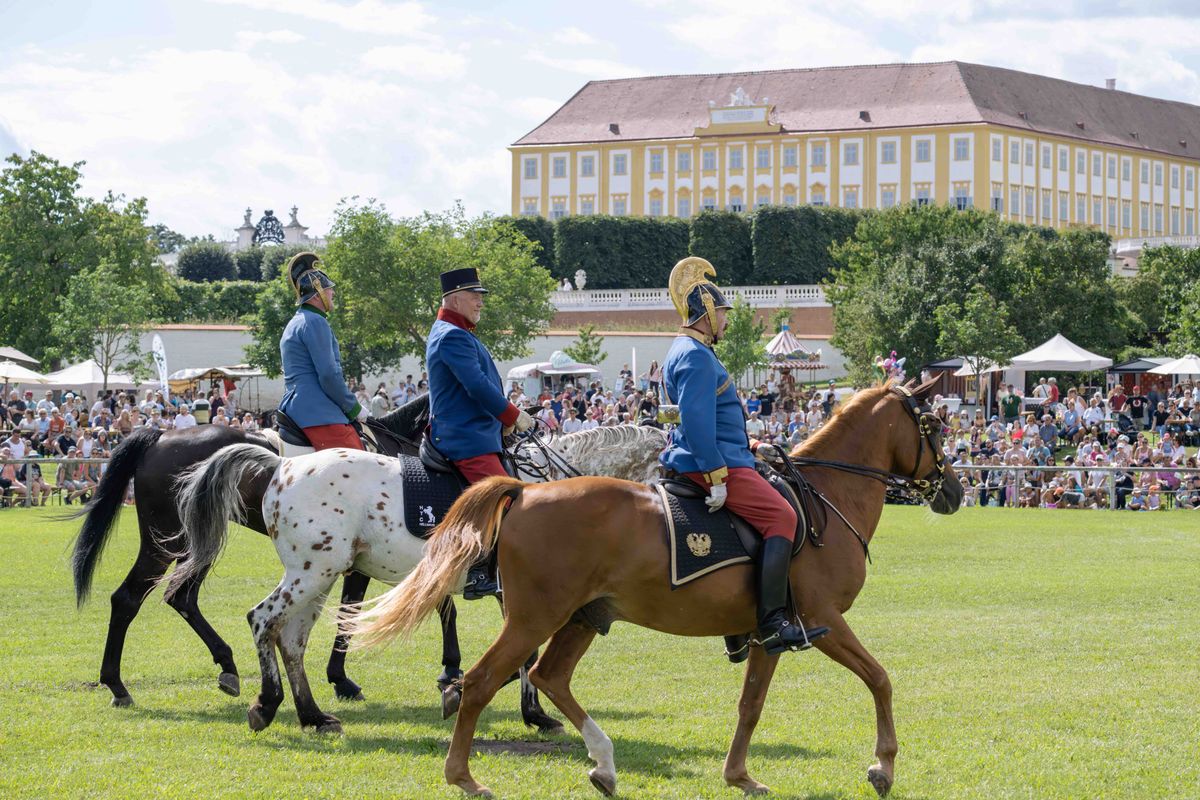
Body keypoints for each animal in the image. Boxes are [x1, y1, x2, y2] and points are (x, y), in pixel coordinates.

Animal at [72, 393, 559, 734]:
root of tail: (160, 435)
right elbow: (361, 616)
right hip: (178, 545)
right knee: (137, 599)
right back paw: (123, 685)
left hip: (210, 547)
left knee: (187, 600)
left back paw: (238, 676)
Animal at [345, 381, 955, 796]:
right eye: (935, 427)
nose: (951, 489)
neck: (826, 493)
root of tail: (523, 491)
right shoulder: (823, 619)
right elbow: (880, 679)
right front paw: (883, 765)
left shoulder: (769, 633)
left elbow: (750, 705)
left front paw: (740, 775)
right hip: (534, 620)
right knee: (480, 681)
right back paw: (464, 776)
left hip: (582, 617)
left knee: (549, 676)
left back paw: (603, 763)